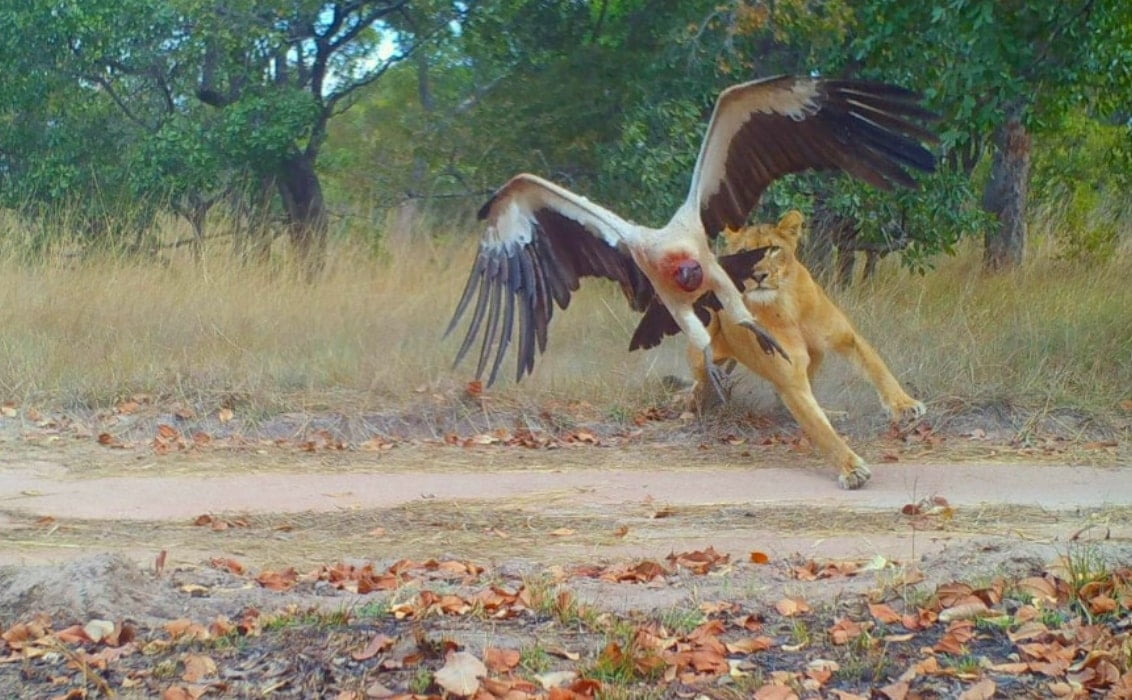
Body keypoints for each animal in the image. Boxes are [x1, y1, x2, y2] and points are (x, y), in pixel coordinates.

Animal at [683, 209, 923, 487]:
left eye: (774, 249)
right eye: (743, 252)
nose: (758, 275)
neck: (786, 304)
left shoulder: (847, 338)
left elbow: (879, 369)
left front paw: (905, 406)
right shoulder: (790, 379)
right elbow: (820, 430)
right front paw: (852, 469)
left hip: (816, 354)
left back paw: (832, 413)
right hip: (702, 345)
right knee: (698, 383)